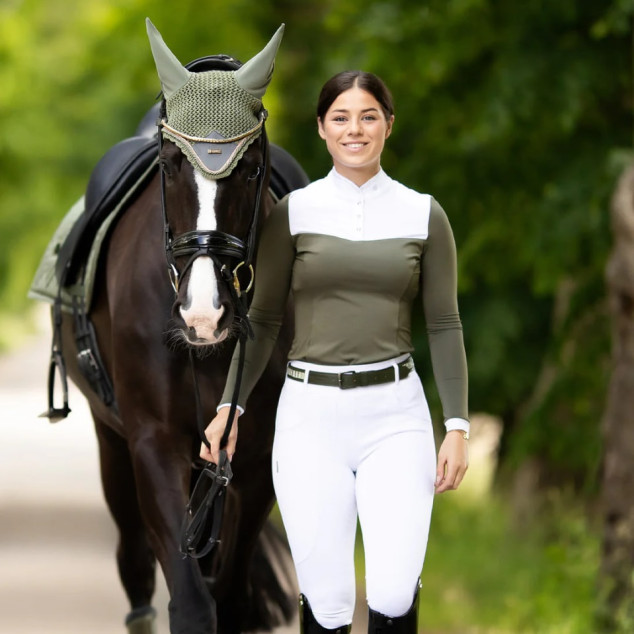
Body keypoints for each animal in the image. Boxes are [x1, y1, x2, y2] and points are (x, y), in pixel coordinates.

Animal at [51, 21, 304, 632]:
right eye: (168, 164)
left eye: (252, 168)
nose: (202, 314)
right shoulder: (153, 443)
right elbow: (191, 602)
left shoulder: (251, 455)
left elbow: (229, 597)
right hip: (113, 446)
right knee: (136, 568)